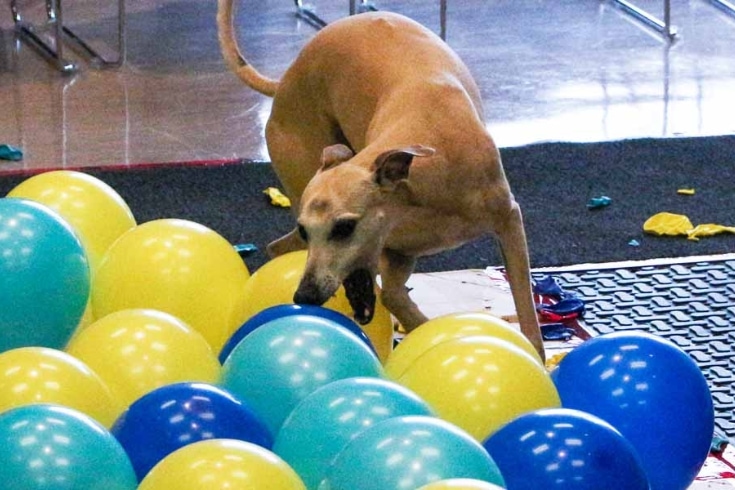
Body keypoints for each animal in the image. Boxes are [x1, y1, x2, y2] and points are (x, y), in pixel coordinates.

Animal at [216, 2, 544, 360]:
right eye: (307, 229)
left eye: (345, 227)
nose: (304, 296)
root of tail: (286, 79)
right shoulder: (393, 249)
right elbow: (393, 297)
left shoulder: (508, 222)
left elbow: (527, 308)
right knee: (279, 248)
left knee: (278, 248)